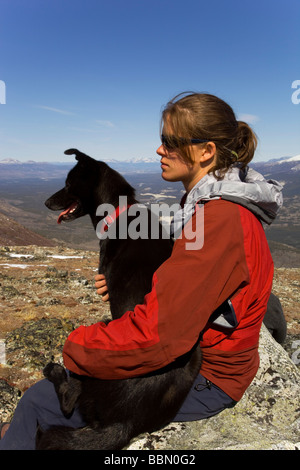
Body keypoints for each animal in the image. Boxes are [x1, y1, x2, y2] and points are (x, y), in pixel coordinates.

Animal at [36, 149, 203, 450]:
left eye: (68, 183)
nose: (46, 202)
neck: (119, 211)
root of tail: (126, 423)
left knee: (69, 401)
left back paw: (56, 373)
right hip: (195, 358)